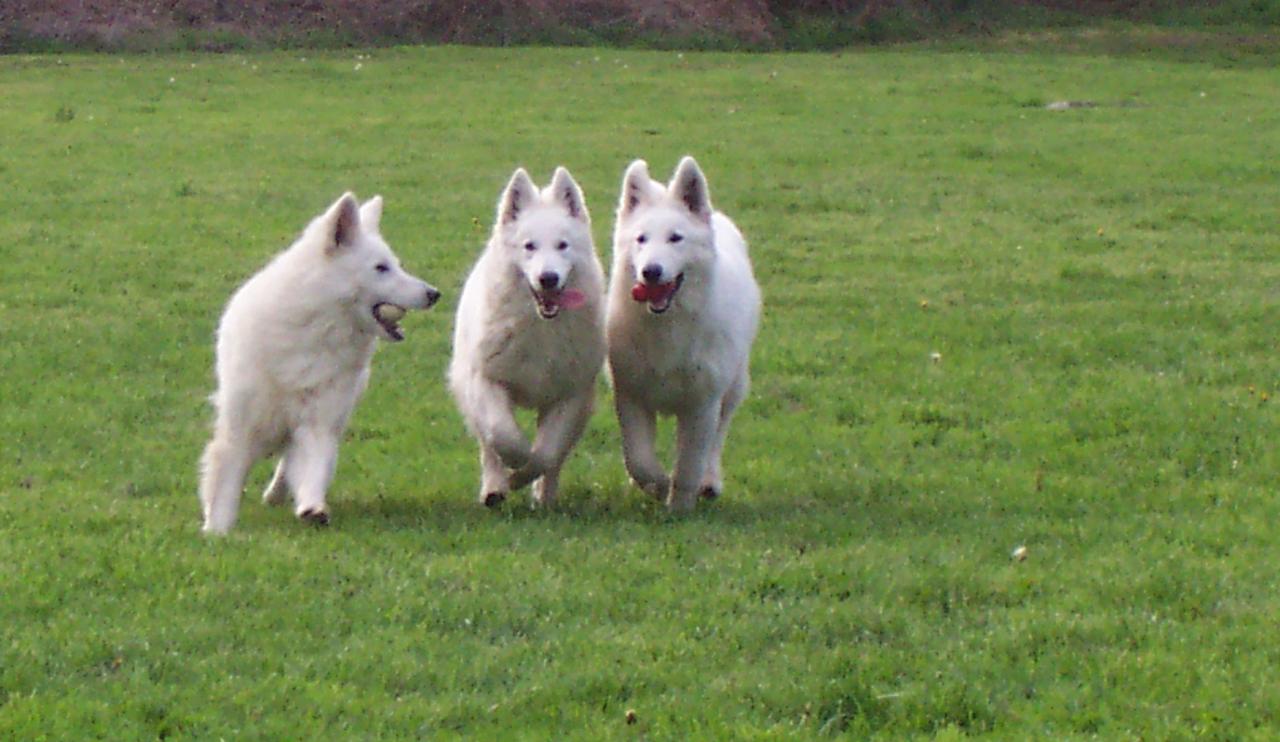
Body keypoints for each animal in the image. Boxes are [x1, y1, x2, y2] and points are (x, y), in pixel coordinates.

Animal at [197, 193, 440, 532]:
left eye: (396, 265)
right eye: (381, 268)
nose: (434, 294)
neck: (313, 329)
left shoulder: (318, 421)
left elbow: (312, 466)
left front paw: (312, 507)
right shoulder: (240, 427)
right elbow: (226, 480)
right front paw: (217, 530)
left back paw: (279, 494)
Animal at [448, 166, 606, 506]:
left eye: (562, 245)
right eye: (529, 246)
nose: (548, 279)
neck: (540, 325)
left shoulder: (569, 395)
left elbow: (546, 453)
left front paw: (523, 476)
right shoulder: (486, 381)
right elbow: (502, 434)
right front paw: (513, 467)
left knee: (556, 457)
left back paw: (544, 496)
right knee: (488, 445)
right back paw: (494, 488)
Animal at [601, 157, 752, 509]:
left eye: (675, 238)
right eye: (641, 239)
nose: (651, 272)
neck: (666, 326)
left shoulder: (702, 403)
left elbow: (689, 464)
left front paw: (679, 508)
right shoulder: (631, 397)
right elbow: (639, 458)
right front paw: (656, 485)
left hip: (733, 387)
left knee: (718, 438)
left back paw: (709, 482)